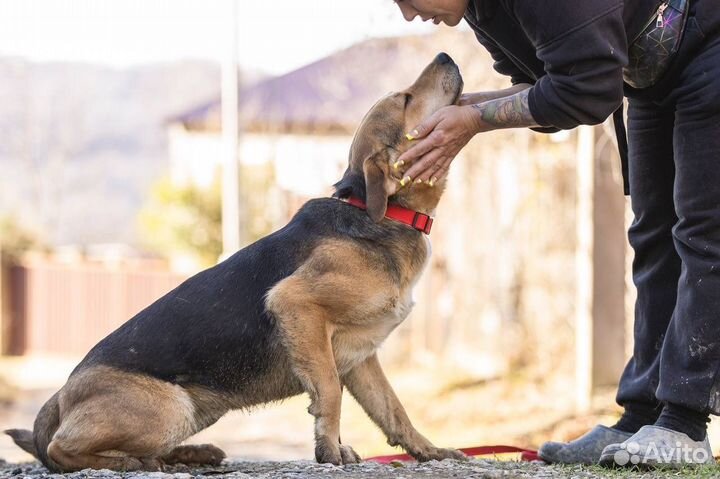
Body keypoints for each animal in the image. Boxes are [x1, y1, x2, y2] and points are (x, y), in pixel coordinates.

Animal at [5, 52, 466, 472]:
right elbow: (330, 394)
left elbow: (393, 409)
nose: (446, 55)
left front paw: (429, 451)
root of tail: (61, 394)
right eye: (405, 99)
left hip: (195, 410)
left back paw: (189, 456)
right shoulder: (296, 305)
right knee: (60, 451)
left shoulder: (361, 357)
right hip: (171, 406)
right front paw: (329, 451)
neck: (382, 213)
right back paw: (136, 463)